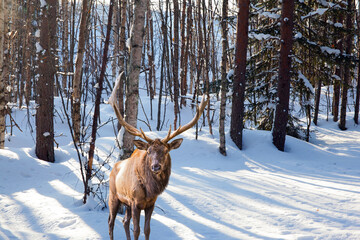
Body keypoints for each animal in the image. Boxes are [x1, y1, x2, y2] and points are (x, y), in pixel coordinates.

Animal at [107, 74, 208, 239]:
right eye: (148, 152)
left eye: (166, 151)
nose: (156, 166)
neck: (150, 190)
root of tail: (113, 168)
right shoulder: (135, 202)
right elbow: (137, 230)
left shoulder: (150, 204)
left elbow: (147, 229)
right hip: (114, 196)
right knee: (110, 222)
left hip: (125, 203)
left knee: (124, 221)